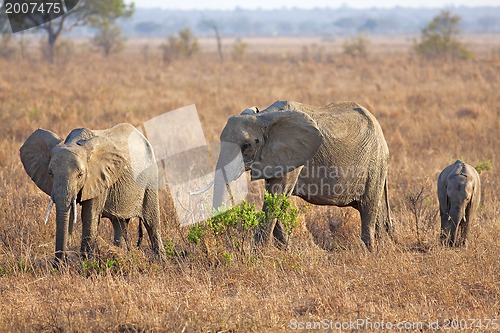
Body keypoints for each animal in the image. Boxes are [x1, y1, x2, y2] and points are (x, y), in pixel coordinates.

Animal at [20, 122, 164, 262]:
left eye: (80, 175)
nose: (58, 264)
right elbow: (69, 213)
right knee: (119, 224)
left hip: (151, 177)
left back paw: (161, 262)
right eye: (50, 173)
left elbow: (89, 215)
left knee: (152, 224)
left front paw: (86, 264)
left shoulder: (100, 178)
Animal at [211, 100, 394, 248]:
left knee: (368, 208)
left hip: (374, 163)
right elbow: (275, 200)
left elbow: (276, 197)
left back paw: (371, 252)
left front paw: (258, 257)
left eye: (246, 145)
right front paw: (287, 250)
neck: (264, 116)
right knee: (374, 210)